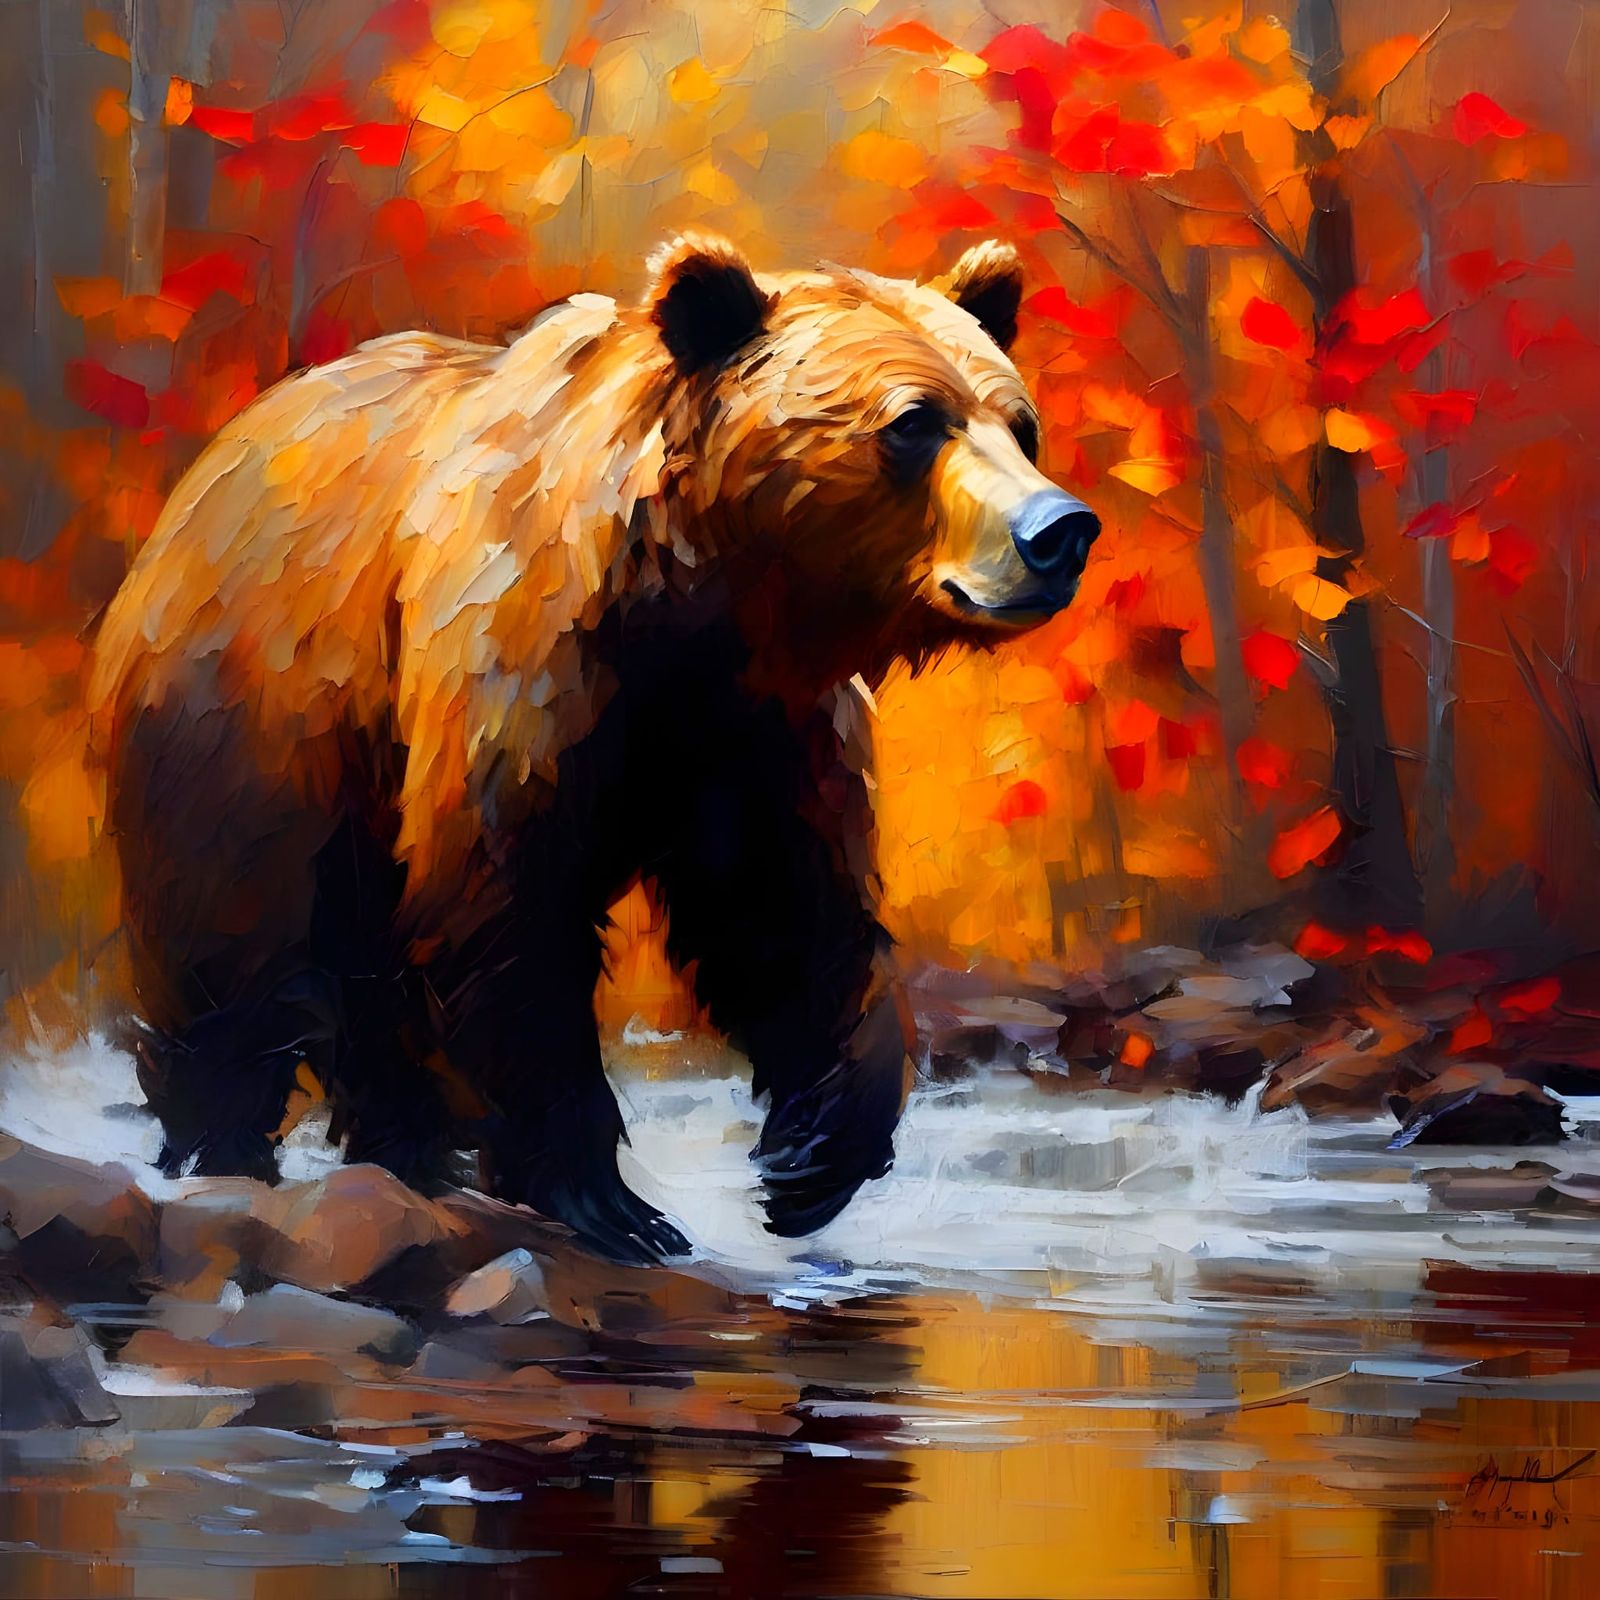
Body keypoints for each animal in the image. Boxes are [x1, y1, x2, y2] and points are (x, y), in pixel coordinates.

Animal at [87, 235, 1100, 1263]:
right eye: (913, 423)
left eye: (1020, 424)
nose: (1060, 530)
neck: (705, 599)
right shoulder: (529, 668)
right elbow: (512, 914)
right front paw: (611, 1203)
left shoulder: (758, 729)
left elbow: (787, 913)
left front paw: (811, 1160)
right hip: (248, 716)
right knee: (232, 941)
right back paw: (223, 1150)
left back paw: (407, 1155)